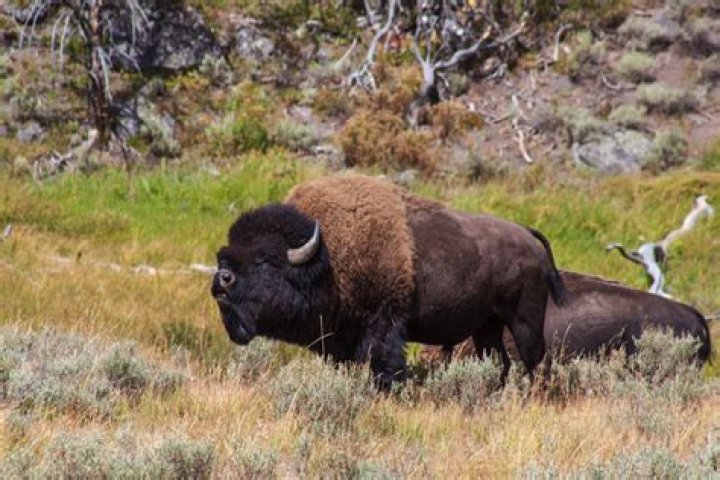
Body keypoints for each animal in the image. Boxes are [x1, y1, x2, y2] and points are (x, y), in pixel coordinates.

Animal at [212, 175, 566, 387]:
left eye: (265, 259)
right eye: (225, 254)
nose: (222, 281)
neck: (326, 257)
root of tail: (529, 238)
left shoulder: (382, 324)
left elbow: (383, 364)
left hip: (523, 321)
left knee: (535, 360)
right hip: (487, 326)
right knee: (499, 361)